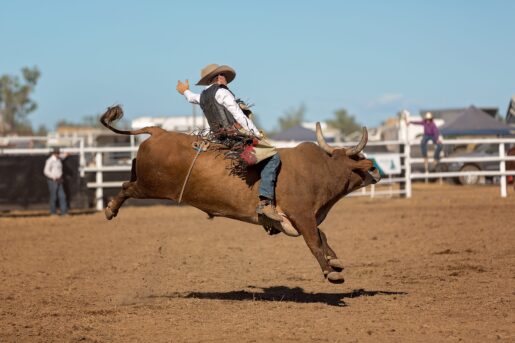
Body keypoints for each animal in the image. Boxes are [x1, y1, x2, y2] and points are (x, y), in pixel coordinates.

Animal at [102, 106, 382, 284]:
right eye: (360, 157)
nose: (377, 171)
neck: (319, 170)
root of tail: (159, 131)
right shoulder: (302, 216)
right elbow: (314, 241)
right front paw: (330, 272)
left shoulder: (306, 218)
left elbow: (322, 236)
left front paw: (335, 262)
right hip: (150, 185)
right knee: (127, 187)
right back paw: (110, 209)